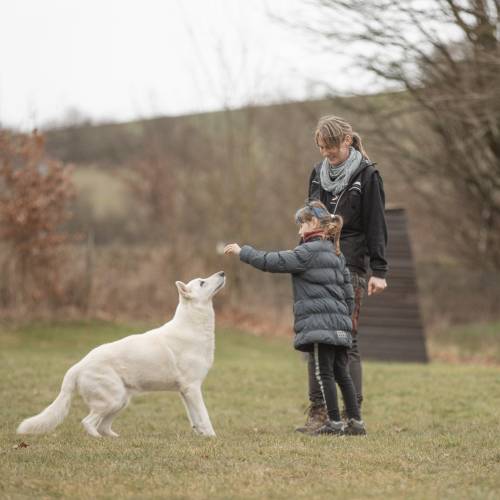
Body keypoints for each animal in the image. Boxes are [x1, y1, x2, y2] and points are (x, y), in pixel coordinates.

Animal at [16, 270, 226, 438]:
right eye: (202, 282)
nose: (222, 272)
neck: (193, 324)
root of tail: (78, 366)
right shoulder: (192, 388)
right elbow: (204, 416)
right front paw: (212, 437)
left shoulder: (185, 392)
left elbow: (195, 418)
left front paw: (201, 435)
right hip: (113, 399)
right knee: (88, 422)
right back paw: (97, 440)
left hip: (121, 401)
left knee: (103, 426)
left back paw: (115, 438)